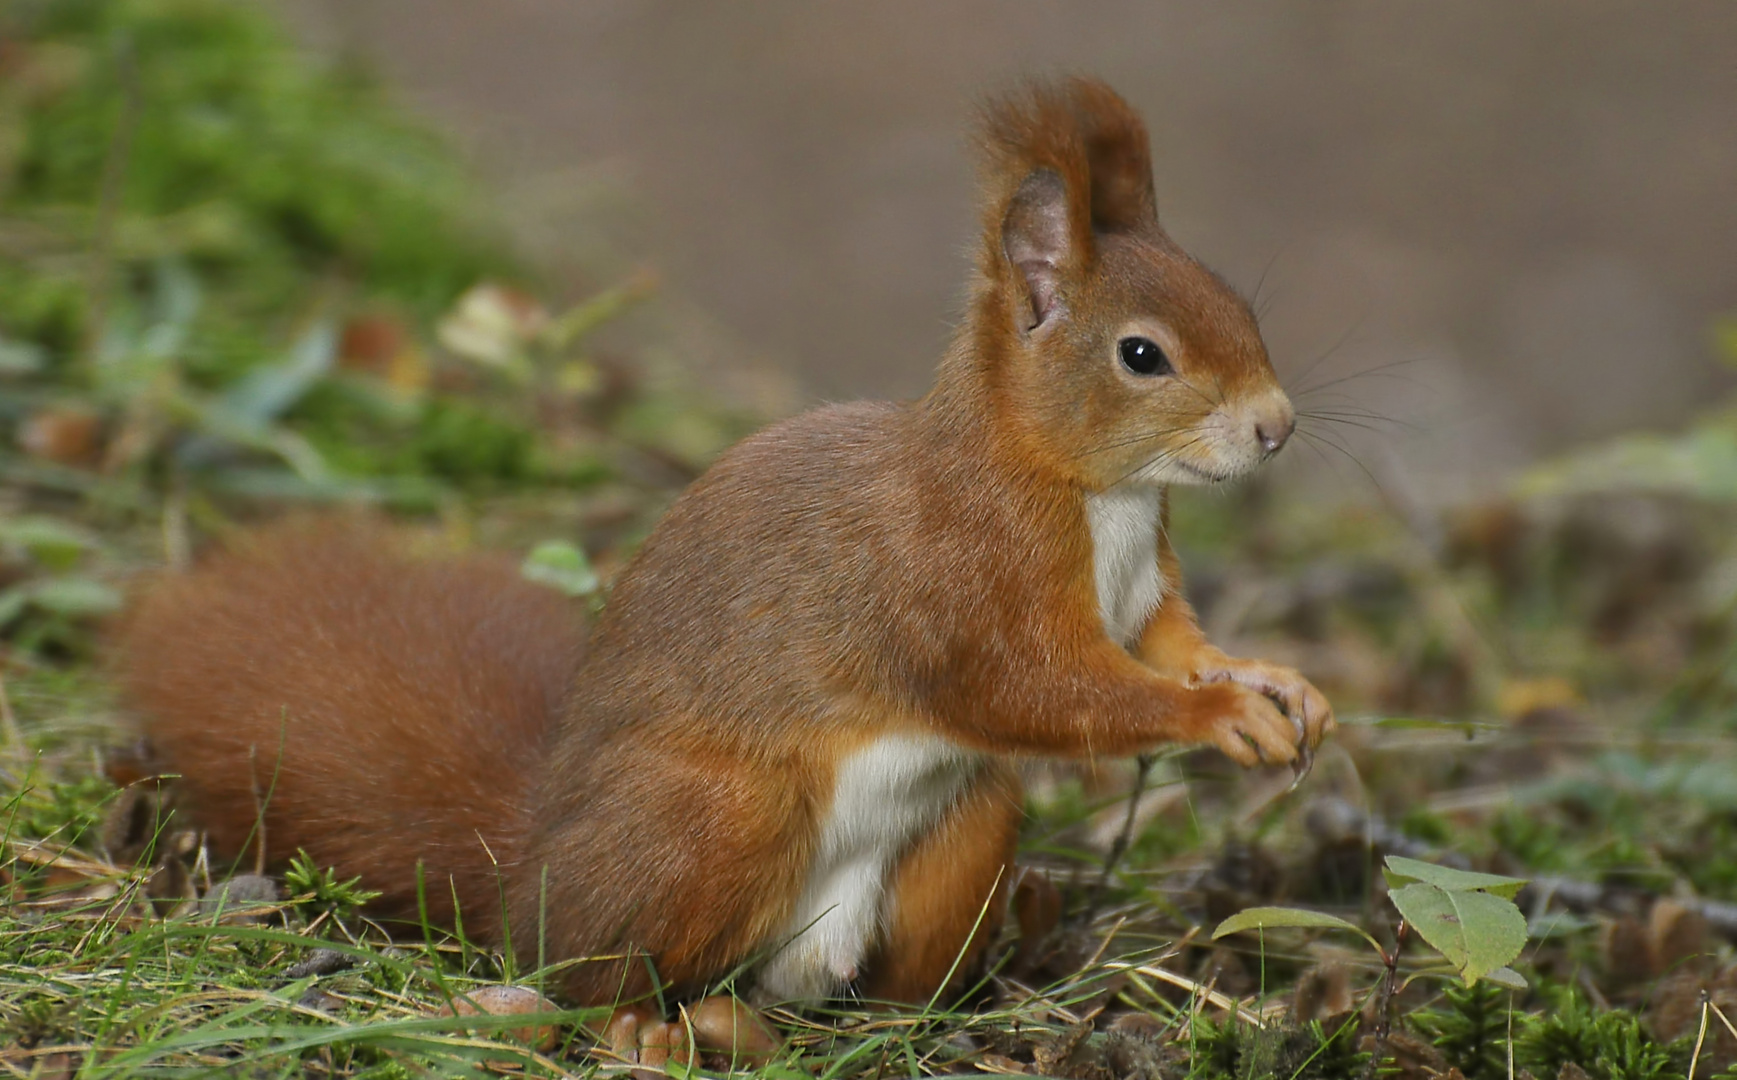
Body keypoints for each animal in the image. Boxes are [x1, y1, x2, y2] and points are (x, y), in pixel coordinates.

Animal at [122, 78, 1334, 1014]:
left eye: (1238, 303)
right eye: (1143, 354)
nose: (1277, 427)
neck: (1100, 497)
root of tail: (528, 866)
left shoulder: (1144, 587)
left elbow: (1172, 640)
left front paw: (1271, 681)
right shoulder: (958, 579)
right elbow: (1037, 689)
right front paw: (1220, 717)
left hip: (963, 830)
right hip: (724, 815)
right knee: (585, 968)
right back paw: (632, 1022)